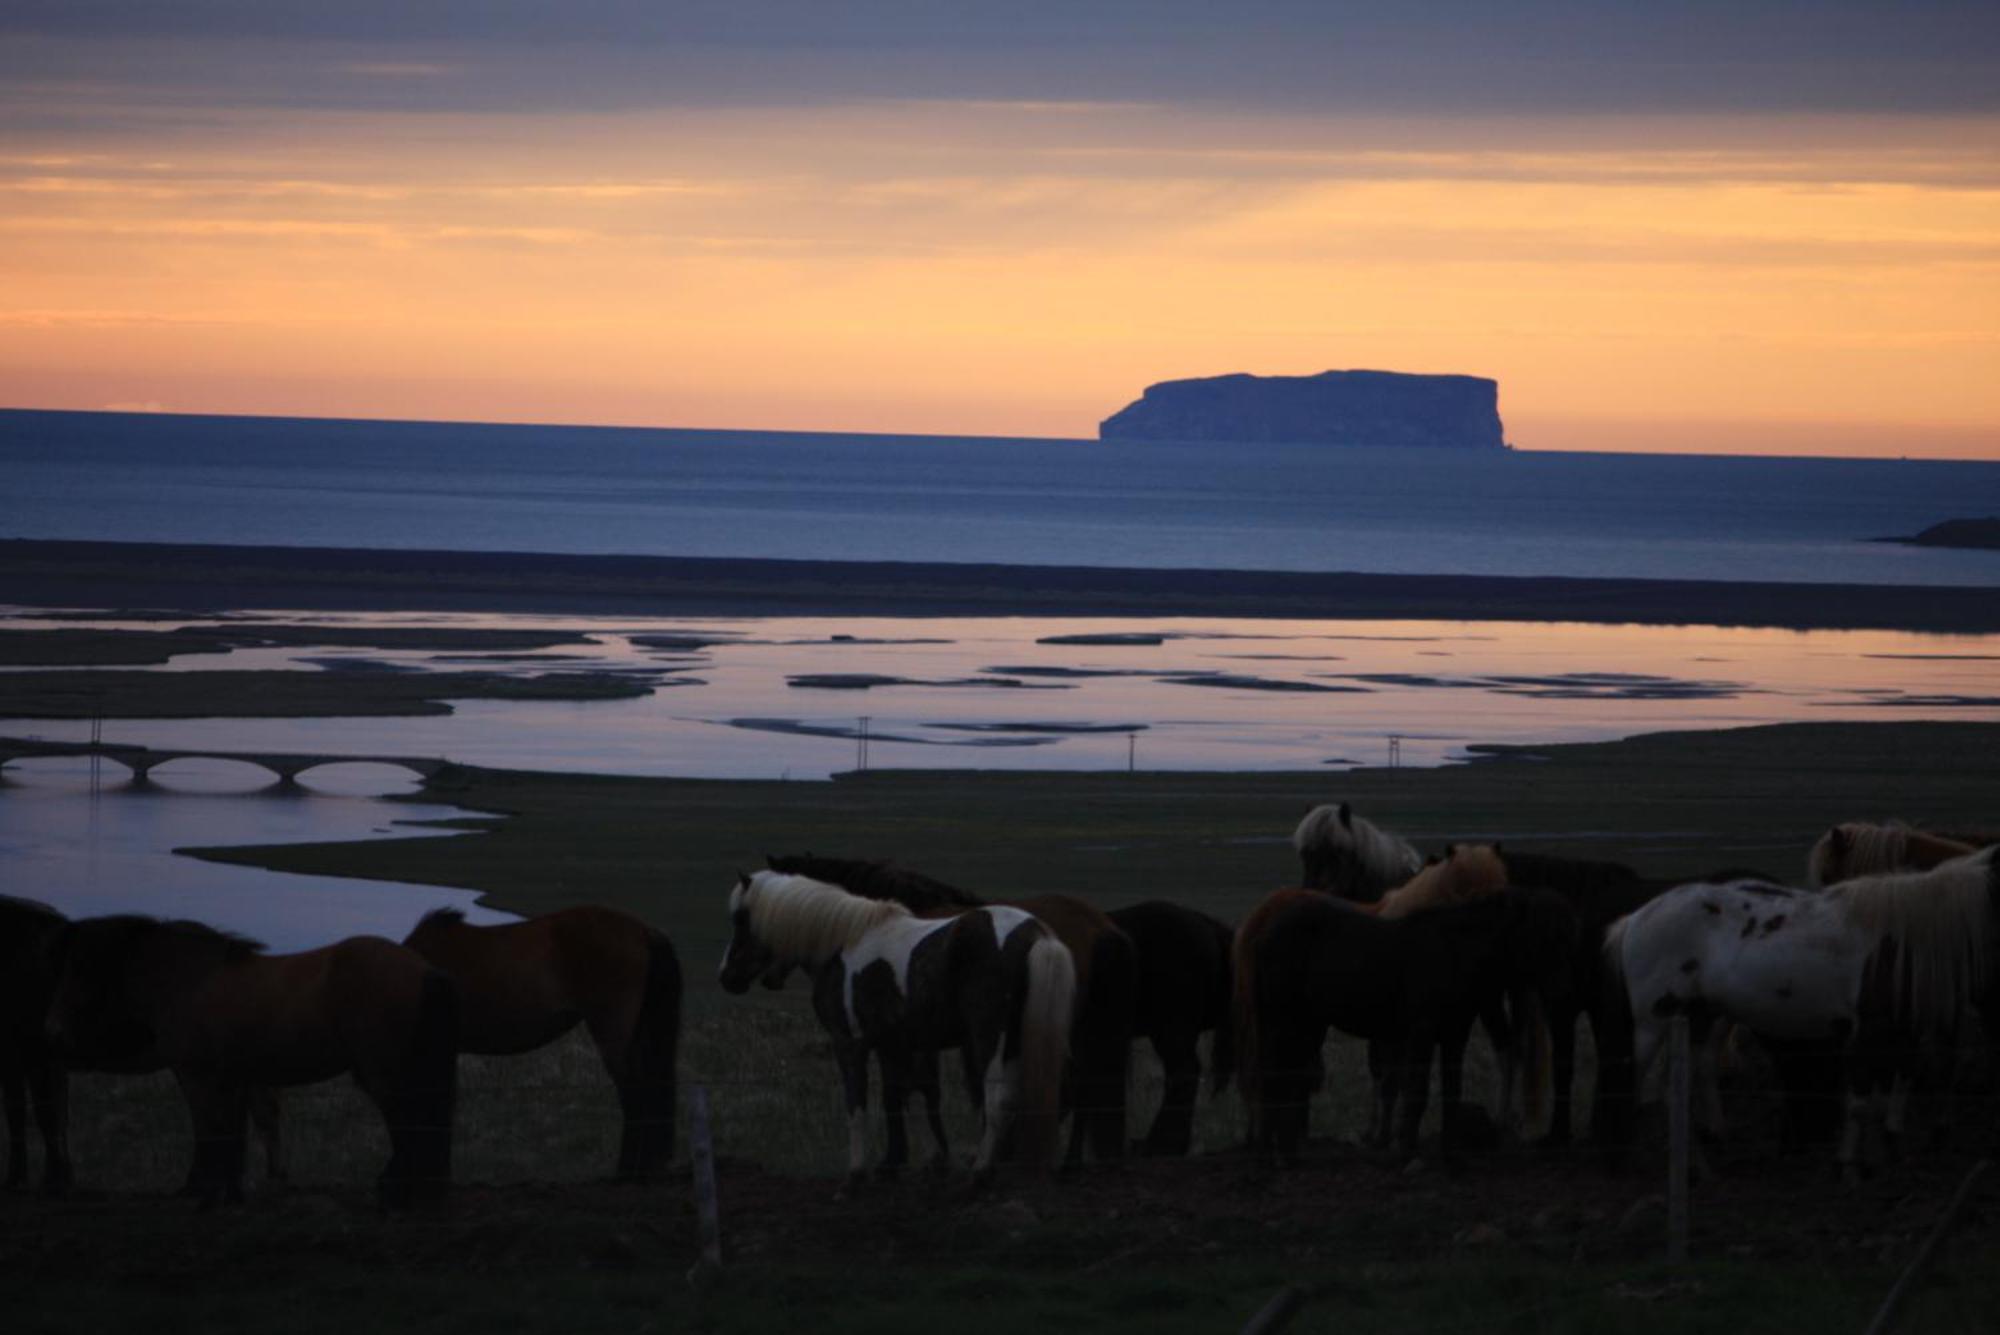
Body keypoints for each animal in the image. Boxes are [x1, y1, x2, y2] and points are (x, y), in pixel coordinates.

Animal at [44, 919, 458, 1207]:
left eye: (79, 971)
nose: (54, 1032)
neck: (188, 982)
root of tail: (422, 968)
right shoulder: (233, 1079)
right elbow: (232, 1135)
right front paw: (228, 1193)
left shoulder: (199, 1077)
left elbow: (210, 1132)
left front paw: (207, 1192)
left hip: (384, 1072)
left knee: (408, 1123)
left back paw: (398, 1192)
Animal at [720, 871, 1080, 1191]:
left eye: (740, 919)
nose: (727, 977)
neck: (841, 941)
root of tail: (1037, 934)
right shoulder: (894, 1044)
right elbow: (901, 1097)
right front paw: (914, 1163)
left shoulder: (849, 1043)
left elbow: (858, 1105)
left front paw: (856, 1176)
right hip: (1018, 1042)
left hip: (989, 1039)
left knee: (999, 1099)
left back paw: (980, 1174)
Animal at [764, 855, 1144, 1167]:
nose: (769, 977)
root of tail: (1103, 928)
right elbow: (924, 1089)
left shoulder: (903, 1037)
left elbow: (905, 1090)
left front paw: (912, 1156)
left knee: (1079, 1087)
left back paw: (1062, 1160)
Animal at [1232, 887, 1576, 1167]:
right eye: (1544, 936)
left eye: (1566, 937)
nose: (1563, 992)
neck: (1454, 951)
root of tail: (1263, 933)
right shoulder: (1421, 1033)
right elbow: (1417, 1092)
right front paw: (1406, 1151)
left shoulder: (1455, 1036)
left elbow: (1452, 1092)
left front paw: (1451, 1155)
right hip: (1281, 1023)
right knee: (1272, 1077)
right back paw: (1269, 1157)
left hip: (1306, 1026)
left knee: (1287, 1078)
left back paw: (1288, 1155)